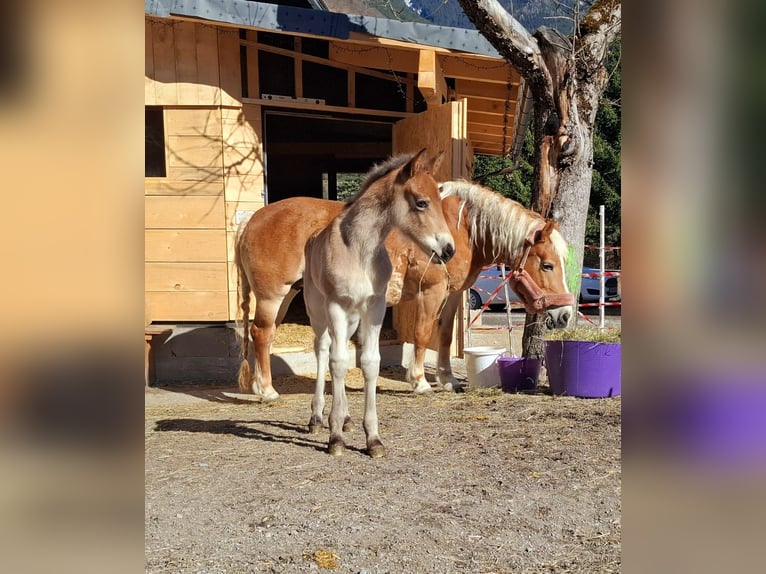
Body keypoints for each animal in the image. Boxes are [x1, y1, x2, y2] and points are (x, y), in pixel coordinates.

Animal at [235, 177, 573, 401]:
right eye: (547, 265)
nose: (566, 314)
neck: (458, 227)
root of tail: (253, 219)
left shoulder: (452, 294)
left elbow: (445, 336)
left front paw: (448, 380)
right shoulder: (431, 292)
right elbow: (423, 334)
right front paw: (420, 381)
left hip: (287, 294)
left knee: (263, 334)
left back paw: (259, 386)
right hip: (273, 294)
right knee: (261, 334)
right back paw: (267, 391)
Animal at [302, 149, 454, 457]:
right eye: (422, 202)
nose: (448, 249)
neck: (359, 249)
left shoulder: (374, 307)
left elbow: (369, 363)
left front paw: (372, 439)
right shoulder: (337, 305)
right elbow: (337, 362)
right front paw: (335, 439)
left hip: (352, 318)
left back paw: (346, 419)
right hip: (319, 311)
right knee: (323, 351)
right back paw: (317, 418)